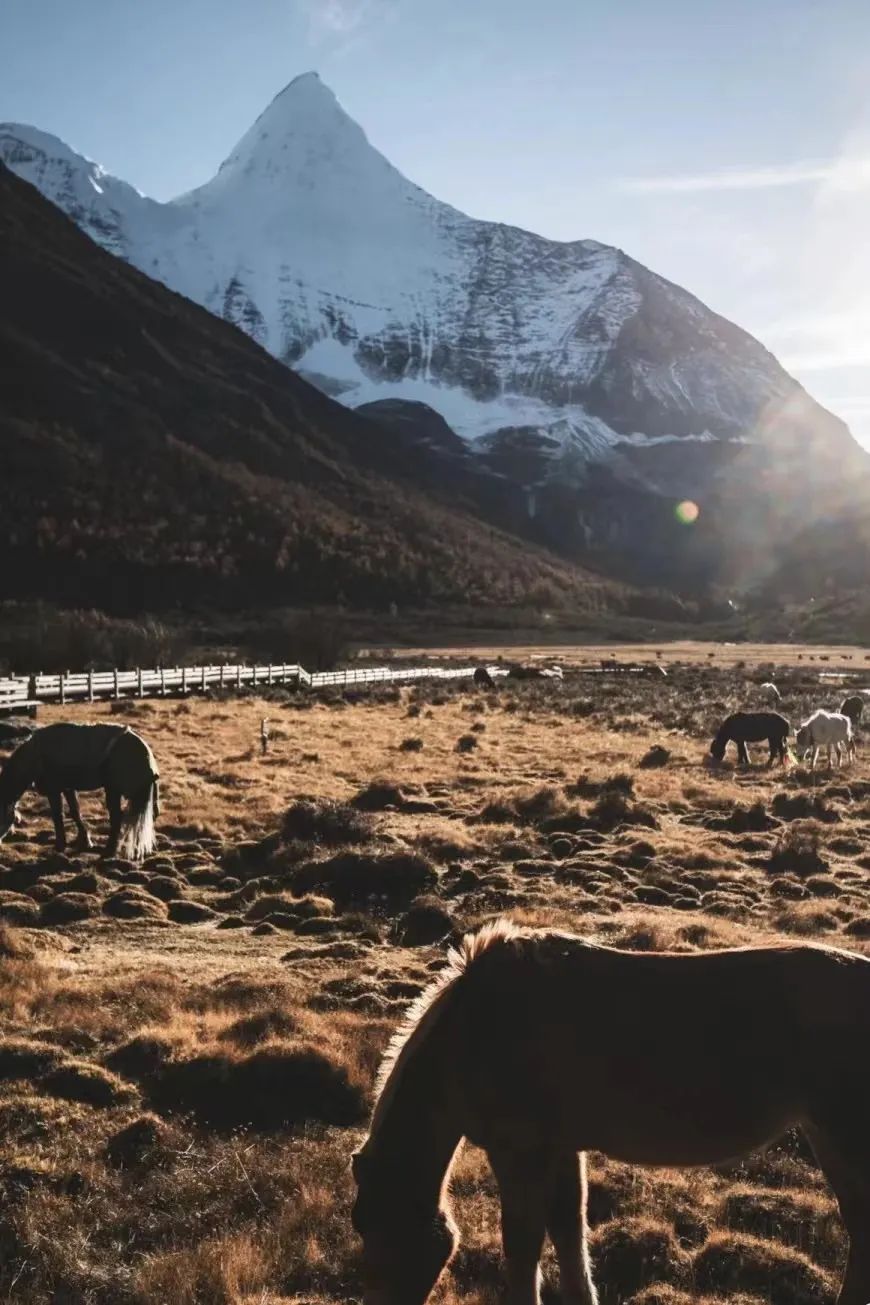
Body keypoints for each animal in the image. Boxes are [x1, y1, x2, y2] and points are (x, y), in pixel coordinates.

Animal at [0, 720, 159, 861]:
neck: (34, 756)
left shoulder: (54, 790)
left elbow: (58, 815)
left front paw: (60, 846)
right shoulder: (68, 788)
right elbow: (75, 812)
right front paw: (85, 841)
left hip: (113, 790)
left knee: (117, 817)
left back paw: (109, 851)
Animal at [349, 918, 870, 1305]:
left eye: (380, 1232)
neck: (476, 1031)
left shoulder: (520, 1151)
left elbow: (523, 1245)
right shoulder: (560, 1149)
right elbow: (568, 1232)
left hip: (843, 1137)